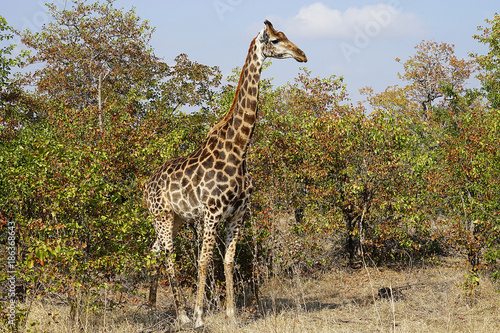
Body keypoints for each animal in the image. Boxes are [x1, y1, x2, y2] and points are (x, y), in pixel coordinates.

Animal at [143, 20, 306, 326]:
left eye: (286, 35)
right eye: (275, 40)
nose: (302, 54)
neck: (239, 149)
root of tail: (145, 185)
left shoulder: (237, 215)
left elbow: (228, 261)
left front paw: (231, 315)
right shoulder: (211, 213)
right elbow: (204, 260)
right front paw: (199, 317)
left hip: (176, 218)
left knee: (155, 250)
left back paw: (151, 308)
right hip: (161, 214)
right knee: (168, 254)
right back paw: (182, 315)